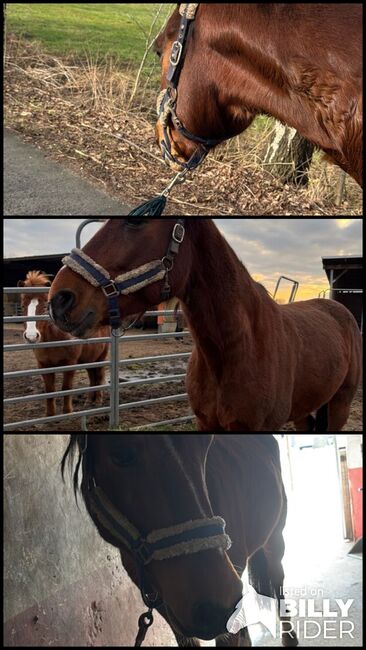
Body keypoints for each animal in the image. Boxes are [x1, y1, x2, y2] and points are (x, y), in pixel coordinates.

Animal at [18, 270, 109, 416]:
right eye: (22, 306)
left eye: (45, 305)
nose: (31, 336)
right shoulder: (43, 365)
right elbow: (49, 390)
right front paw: (50, 414)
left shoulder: (70, 363)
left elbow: (66, 387)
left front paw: (67, 412)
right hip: (89, 359)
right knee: (92, 377)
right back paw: (89, 401)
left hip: (100, 357)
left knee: (99, 376)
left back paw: (98, 401)